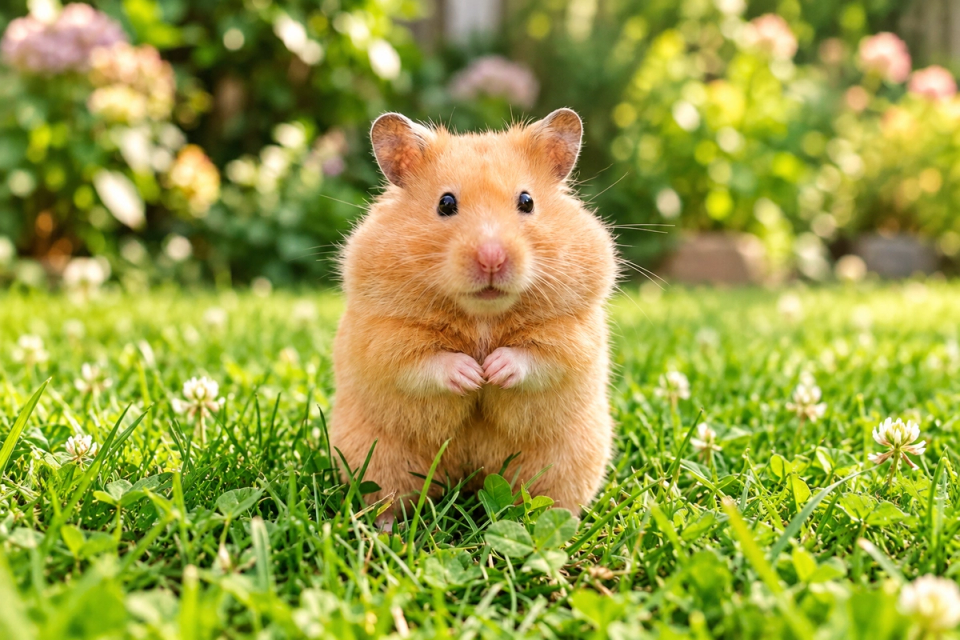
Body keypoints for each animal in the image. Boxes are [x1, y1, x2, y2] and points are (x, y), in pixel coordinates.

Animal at [331, 108, 617, 520]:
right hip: (376, 455)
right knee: (389, 498)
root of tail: (471, 476)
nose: (492, 258)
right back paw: (385, 526)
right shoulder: (383, 337)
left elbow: (539, 357)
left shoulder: (573, 333)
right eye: (446, 203)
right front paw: (472, 375)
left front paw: (492, 371)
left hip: (568, 458)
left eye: (527, 201)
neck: (483, 313)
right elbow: (421, 362)